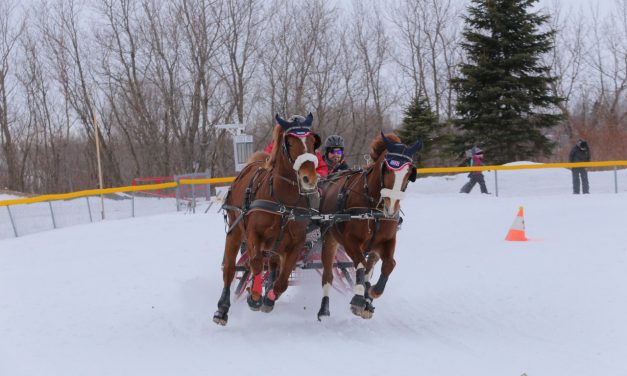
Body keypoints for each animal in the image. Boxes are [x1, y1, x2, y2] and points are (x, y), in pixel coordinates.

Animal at [216, 113, 322, 324]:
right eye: (290, 142)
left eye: (312, 141)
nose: (309, 178)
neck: (282, 201)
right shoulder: (253, 235)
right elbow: (255, 263)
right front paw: (254, 296)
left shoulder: (295, 243)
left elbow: (282, 283)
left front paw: (268, 299)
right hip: (235, 231)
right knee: (231, 269)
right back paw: (223, 308)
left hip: (275, 245)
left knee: (272, 265)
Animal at [318, 132, 422, 320]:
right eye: (387, 168)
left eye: (409, 172)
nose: (391, 207)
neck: (373, 209)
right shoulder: (350, 241)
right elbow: (360, 264)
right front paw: (359, 299)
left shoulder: (387, 240)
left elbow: (389, 264)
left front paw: (372, 292)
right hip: (329, 239)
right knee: (328, 274)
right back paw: (324, 308)